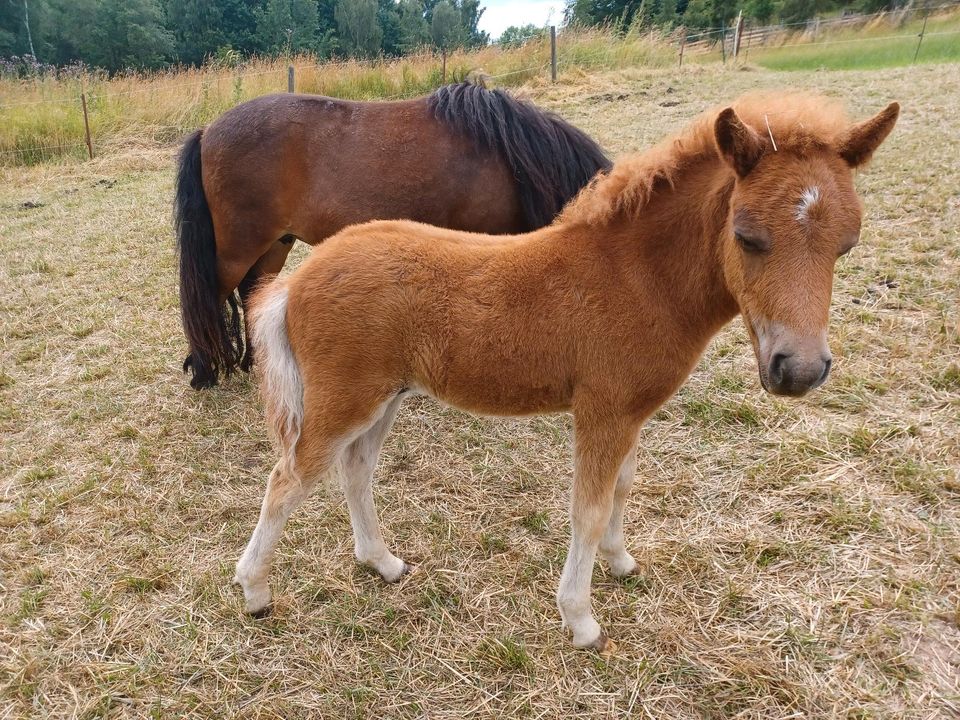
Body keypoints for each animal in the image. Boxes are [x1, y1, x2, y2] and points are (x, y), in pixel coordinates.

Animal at [172, 81, 608, 388]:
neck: (505, 159)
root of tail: (209, 130)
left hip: (275, 244)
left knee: (252, 294)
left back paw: (254, 363)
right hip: (236, 250)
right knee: (211, 297)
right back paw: (205, 371)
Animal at [234, 93, 900, 648]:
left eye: (846, 244)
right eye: (747, 236)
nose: (800, 370)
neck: (635, 277)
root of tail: (297, 280)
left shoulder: (632, 413)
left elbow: (622, 489)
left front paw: (621, 563)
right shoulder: (602, 411)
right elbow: (589, 505)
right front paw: (581, 620)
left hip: (387, 394)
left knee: (355, 469)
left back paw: (382, 562)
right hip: (347, 397)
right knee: (289, 478)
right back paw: (256, 591)